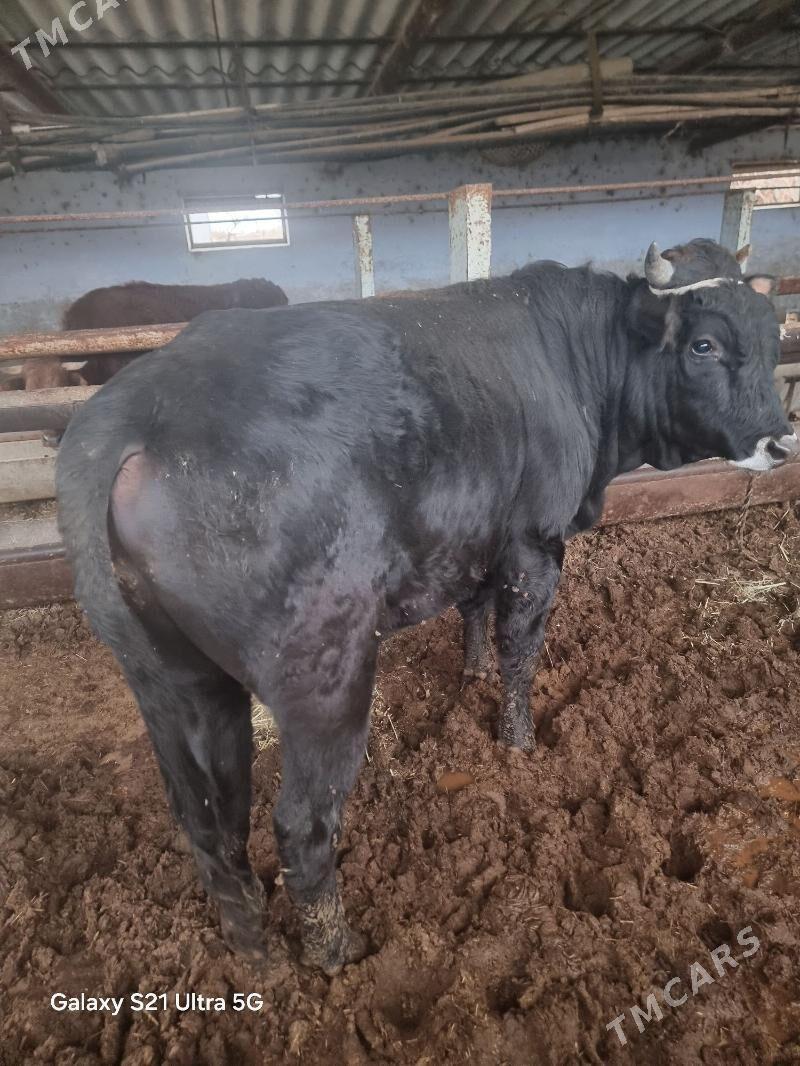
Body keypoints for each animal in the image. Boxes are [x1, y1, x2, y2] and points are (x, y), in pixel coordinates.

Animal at [55, 238, 796, 974]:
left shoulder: (475, 539)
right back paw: (334, 951)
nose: (780, 440)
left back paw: (255, 954)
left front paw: (469, 678)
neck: (570, 359)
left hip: (176, 683)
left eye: (771, 335)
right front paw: (518, 742)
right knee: (301, 825)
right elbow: (520, 649)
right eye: (703, 345)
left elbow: (473, 613)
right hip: (326, 677)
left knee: (212, 821)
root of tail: (137, 406)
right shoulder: (533, 543)